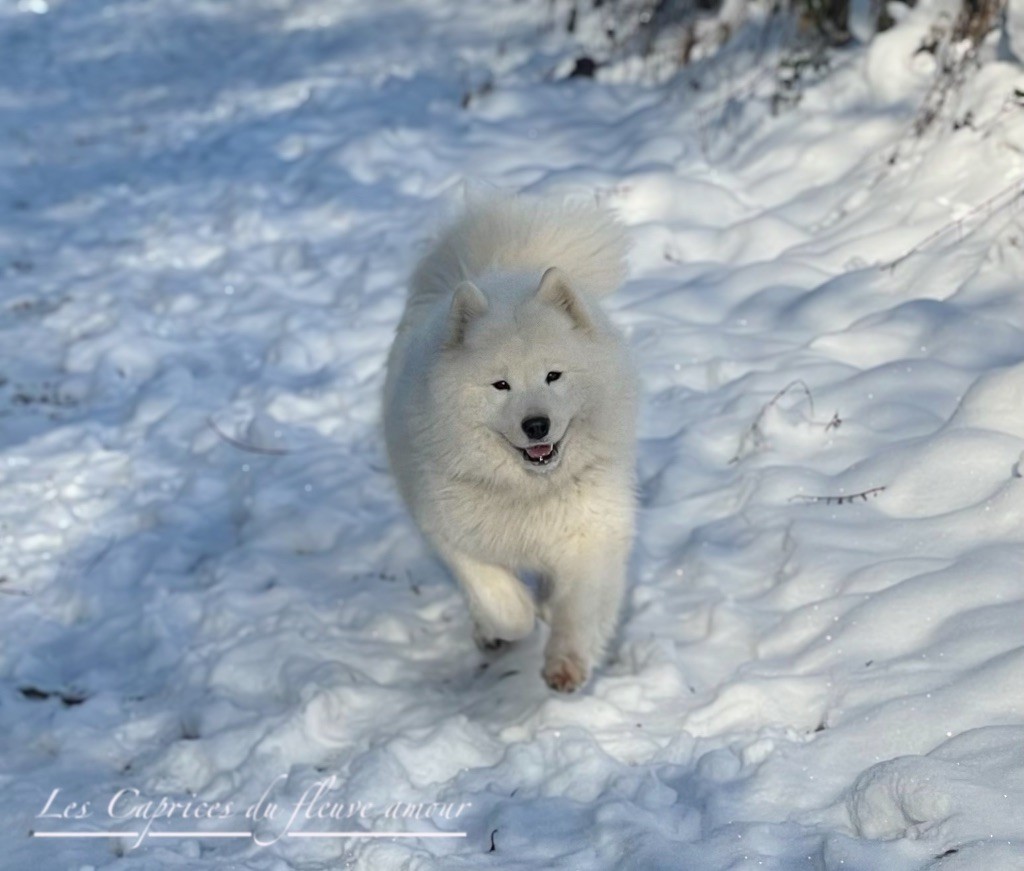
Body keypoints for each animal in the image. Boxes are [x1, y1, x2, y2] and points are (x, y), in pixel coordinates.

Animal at [385, 194, 634, 691]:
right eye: (501, 385)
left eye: (553, 375)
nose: (536, 424)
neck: (528, 492)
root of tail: (499, 269)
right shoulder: (451, 531)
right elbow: (501, 602)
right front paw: (517, 618)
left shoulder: (591, 533)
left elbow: (579, 608)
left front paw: (566, 664)